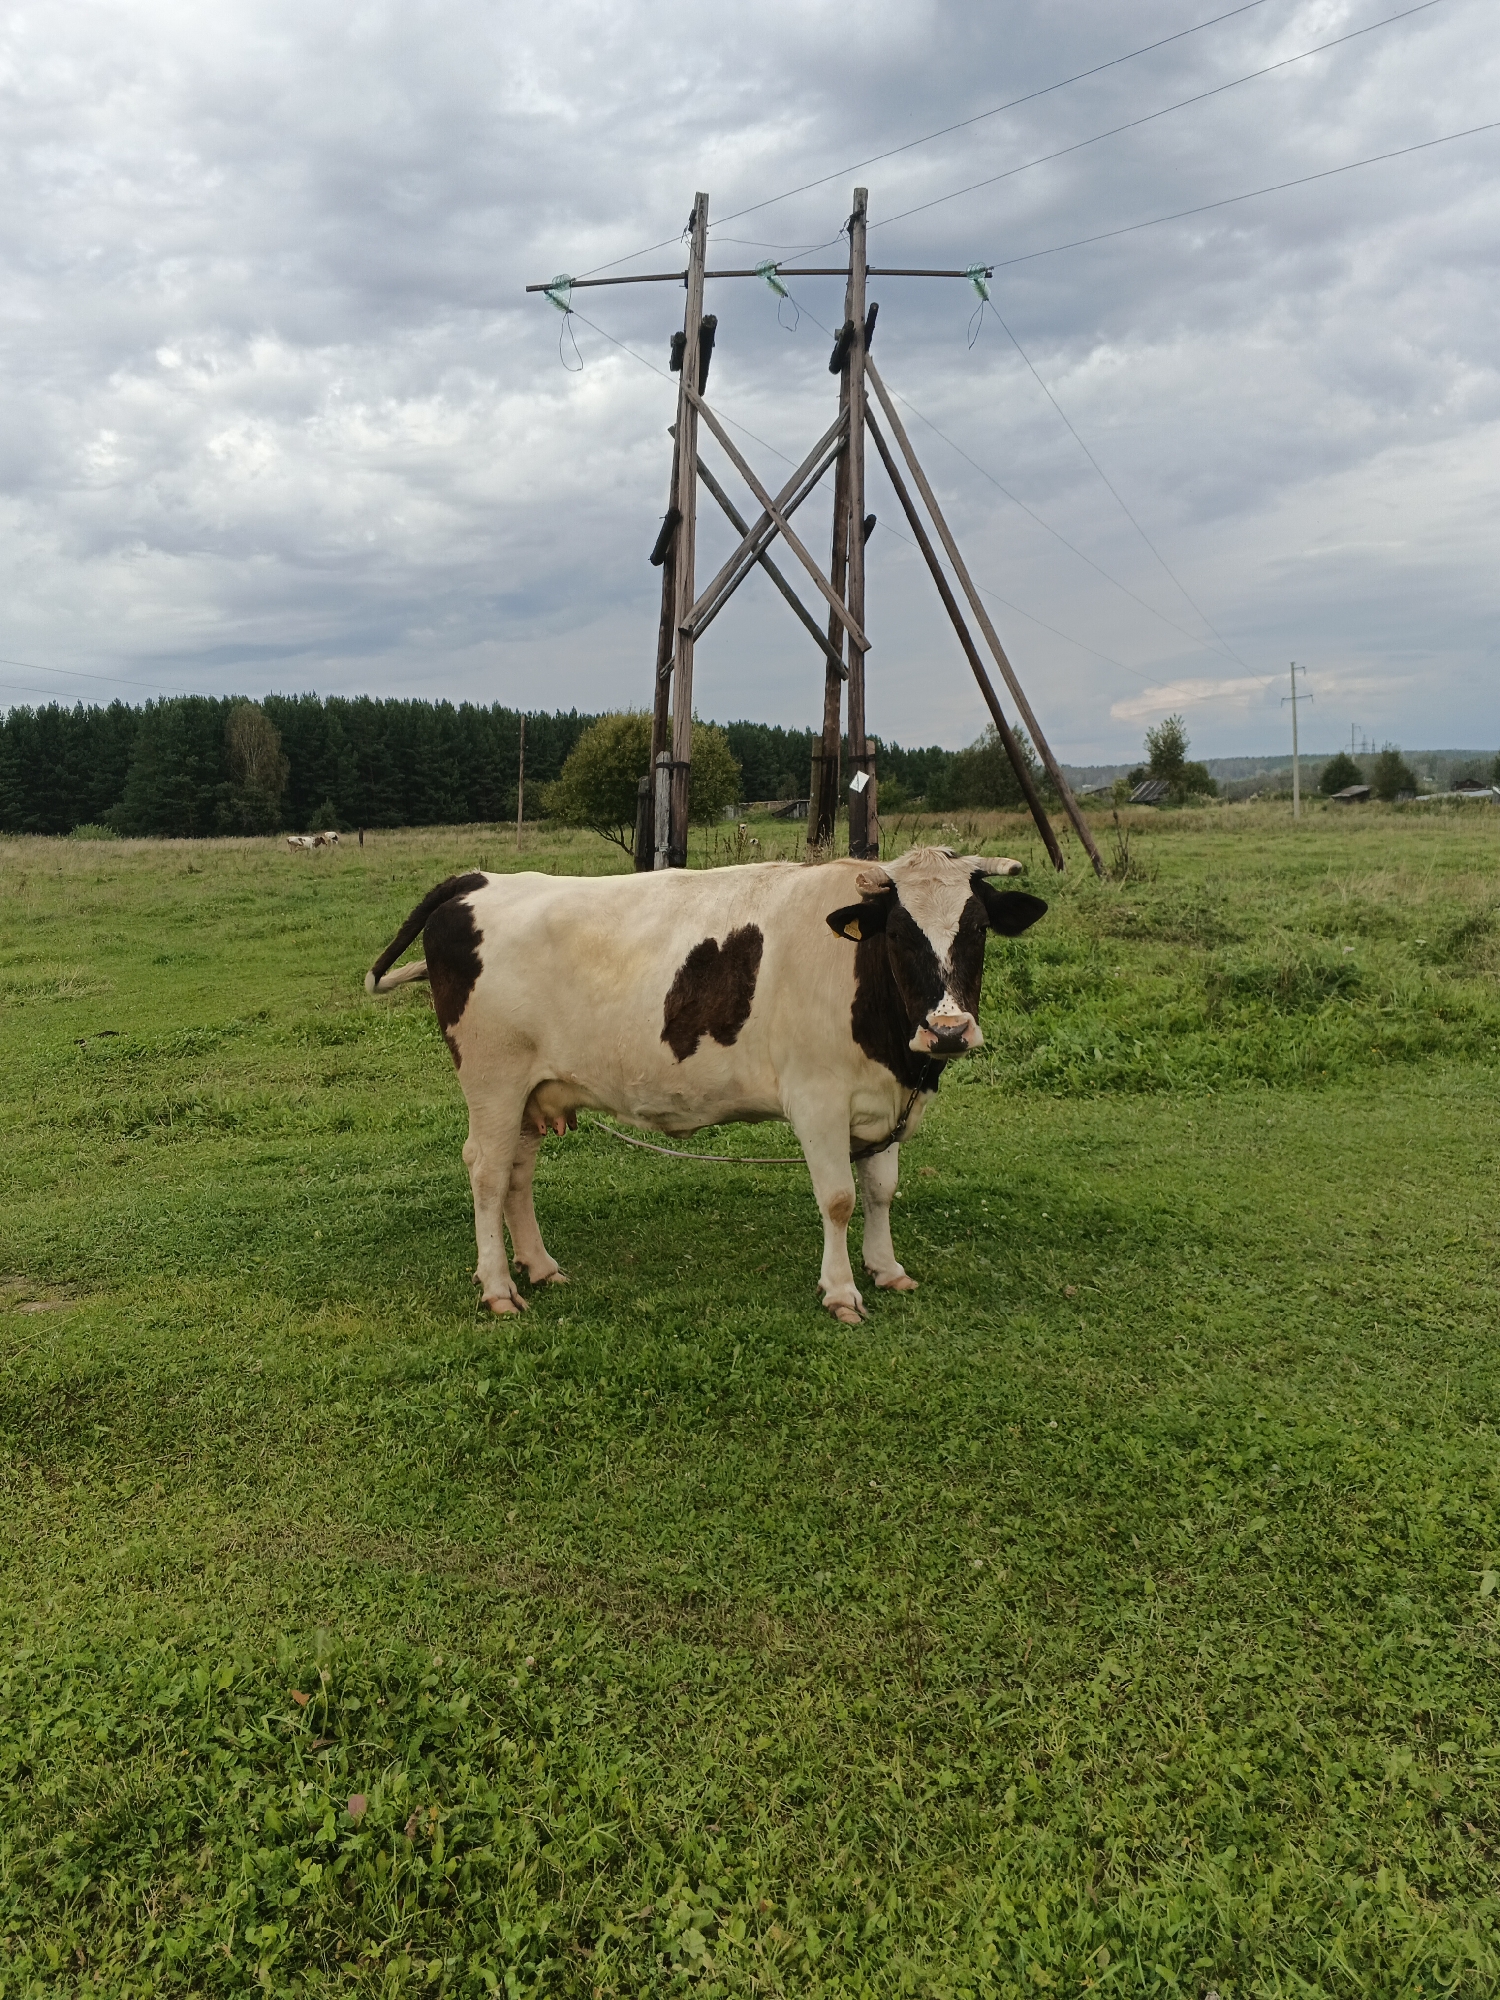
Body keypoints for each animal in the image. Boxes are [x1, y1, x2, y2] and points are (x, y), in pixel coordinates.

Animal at [364, 847, 1046, 1324]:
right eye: (900, 933)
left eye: (977, 929)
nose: (949, 1030)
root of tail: (478, 880)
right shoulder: (818, 1099)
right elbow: (839, 1198)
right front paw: (841, 1291)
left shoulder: (883, 1101)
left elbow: (881, 1191)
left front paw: (887, 1268)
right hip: (493, 1079)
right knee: (485, 1170)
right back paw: (498, 1287)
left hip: (534, 1089)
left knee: (516, 1174)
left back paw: (539, 1266)